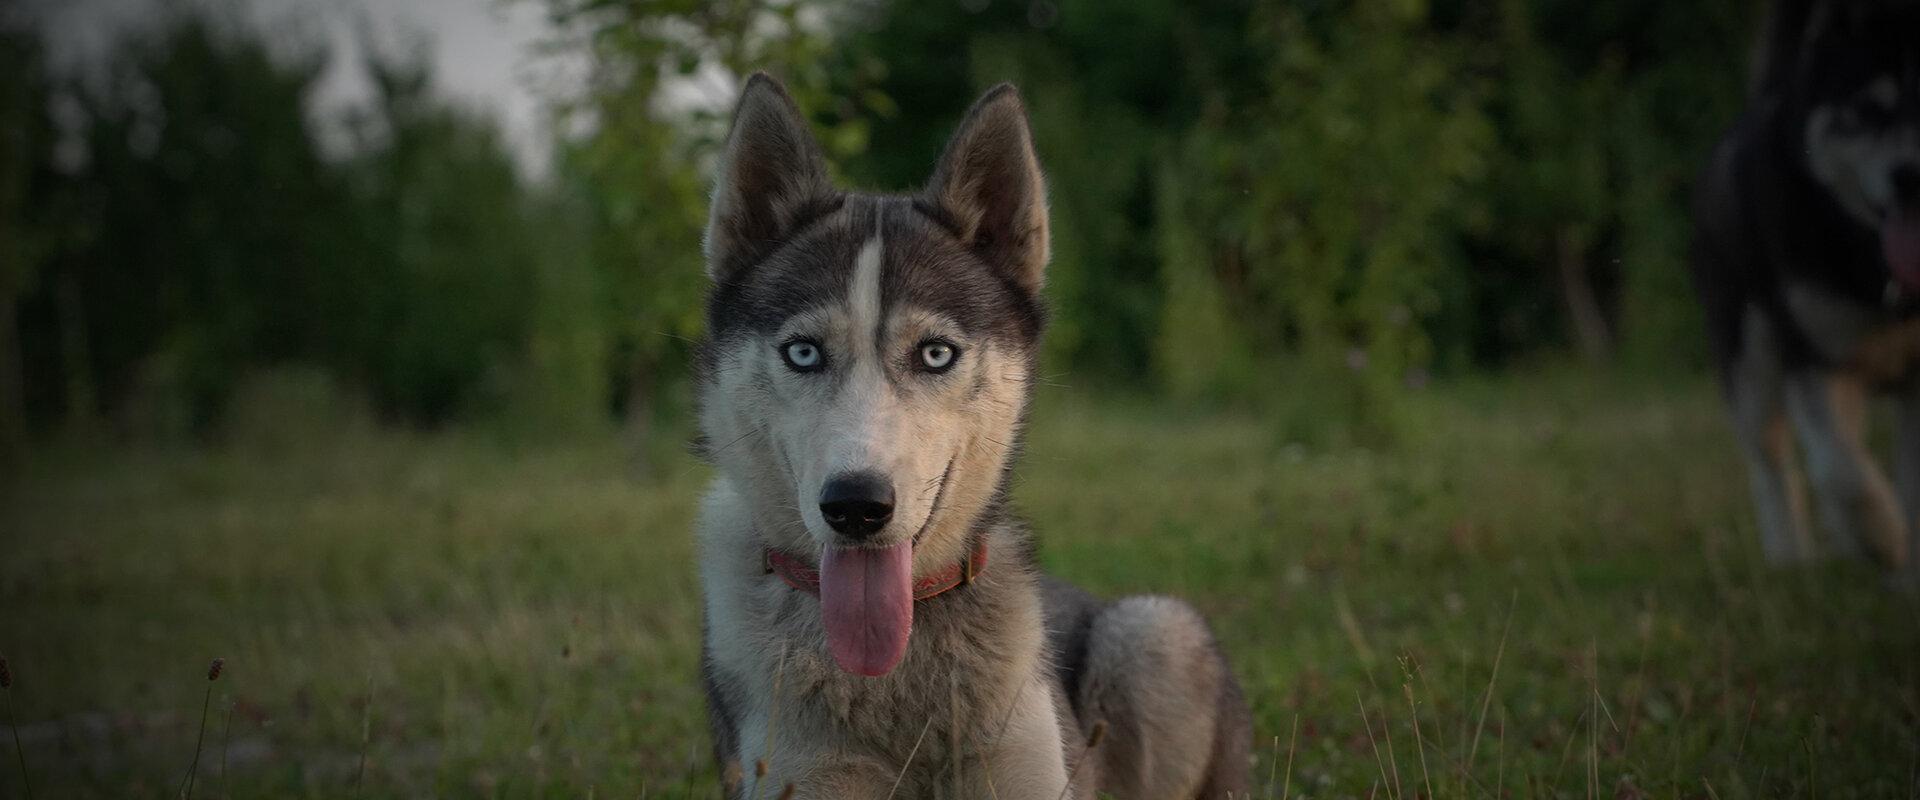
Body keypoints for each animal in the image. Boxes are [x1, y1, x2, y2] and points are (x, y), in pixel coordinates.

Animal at [1697, 0, 1920, 567]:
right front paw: (1883, 539)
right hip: (1750, 359)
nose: (1910, 176)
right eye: (1867, 110)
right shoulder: (1810, 357)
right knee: (1774, 464)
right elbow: (1839, 471)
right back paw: (1791, 558)